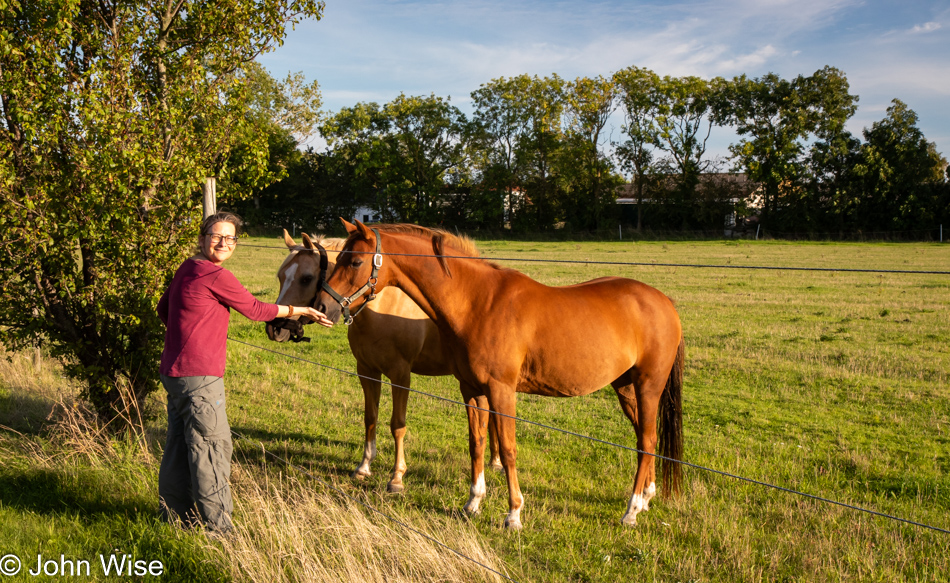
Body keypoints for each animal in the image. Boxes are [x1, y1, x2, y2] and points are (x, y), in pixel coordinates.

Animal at [264, 228, 502, 492]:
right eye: (280, 276)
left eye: (306, 278)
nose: (275, 327)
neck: (382, 308)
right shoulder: (367, 371)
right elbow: (370, 417)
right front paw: (364, 467)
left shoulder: (401, 376)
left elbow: (398, 425)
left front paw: (397, 477)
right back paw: (495, 460)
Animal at [320, 221, 684, 532]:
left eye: (355, 261)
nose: (324, 307)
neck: (478, 303)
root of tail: (664, 301)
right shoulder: (471, 388)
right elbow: (478, 443)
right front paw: (473, 503)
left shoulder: (501, 390)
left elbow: (507, 449)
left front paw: (514, 515)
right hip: (625, 387)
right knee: (646, 438)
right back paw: (646, 498)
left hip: (648, 386)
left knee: (647, 441)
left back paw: (631, 511)